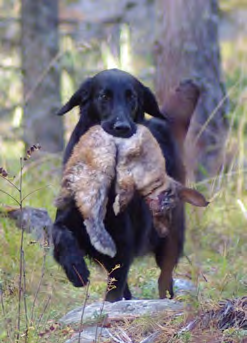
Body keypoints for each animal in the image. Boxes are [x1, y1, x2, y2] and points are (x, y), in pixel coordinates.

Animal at [52, 68, 197, 302]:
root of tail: (161, 126)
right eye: (103, 96)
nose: (122, 127)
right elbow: (60, 234)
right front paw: (76, 270)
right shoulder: (69, 218)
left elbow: (115, 288)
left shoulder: (123, 241)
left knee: (165, 276)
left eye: (132, 98)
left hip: (170, 231)